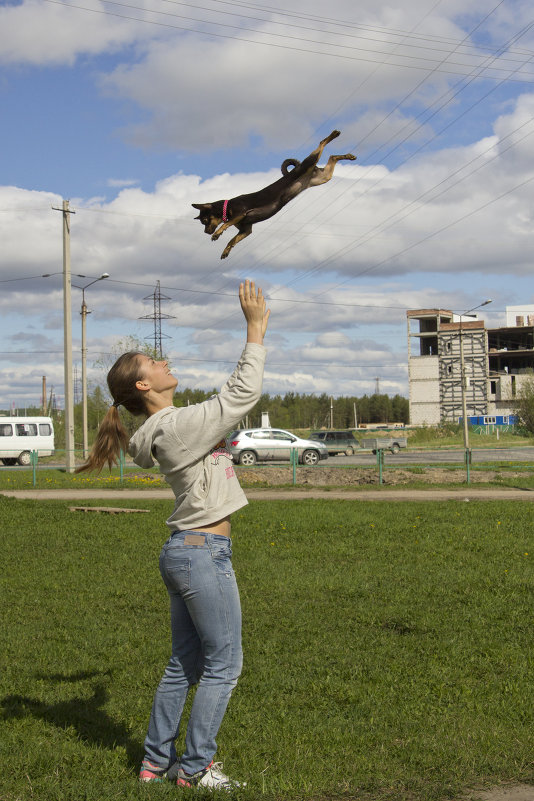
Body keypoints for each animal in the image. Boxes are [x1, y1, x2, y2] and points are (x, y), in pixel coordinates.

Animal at [193, 130, 356, 258]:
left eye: (205, 220)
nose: (206, 232)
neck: (227, 207)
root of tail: (309, 170)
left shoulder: (240, 213)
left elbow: (226, 223)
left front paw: (217, 233)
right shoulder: (246, 230)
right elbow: (232, 240)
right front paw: (226, 251)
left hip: (308, 164)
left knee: (321, 143)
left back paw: (334, 135)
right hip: (322, 177)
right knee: (332, 157)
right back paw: (347, 156)